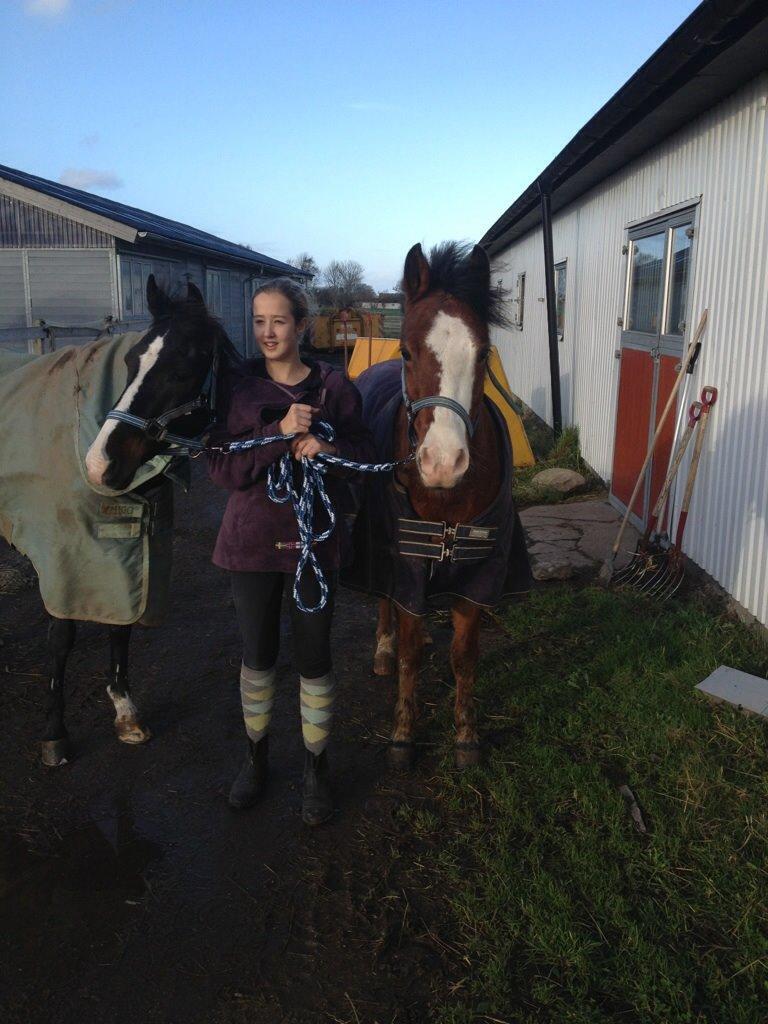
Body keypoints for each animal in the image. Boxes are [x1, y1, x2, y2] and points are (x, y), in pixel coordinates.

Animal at [0, 275, 241, 766]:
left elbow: (121, 625)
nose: (100, 465)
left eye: (184, 367)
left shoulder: (129, 551)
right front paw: (55, 734)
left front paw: (125, 710)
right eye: (132, 360)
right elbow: (61, 636)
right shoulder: (63, 558)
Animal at [342, 242, 532, 768]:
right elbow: (409, 654)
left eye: (484, 352)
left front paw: (466, 736)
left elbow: (464, 657)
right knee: (386, 603)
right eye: (408, 351)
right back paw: (383, 648)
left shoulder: (479, 575)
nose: (443, 463)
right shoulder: (405, 560)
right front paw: (403, 735)